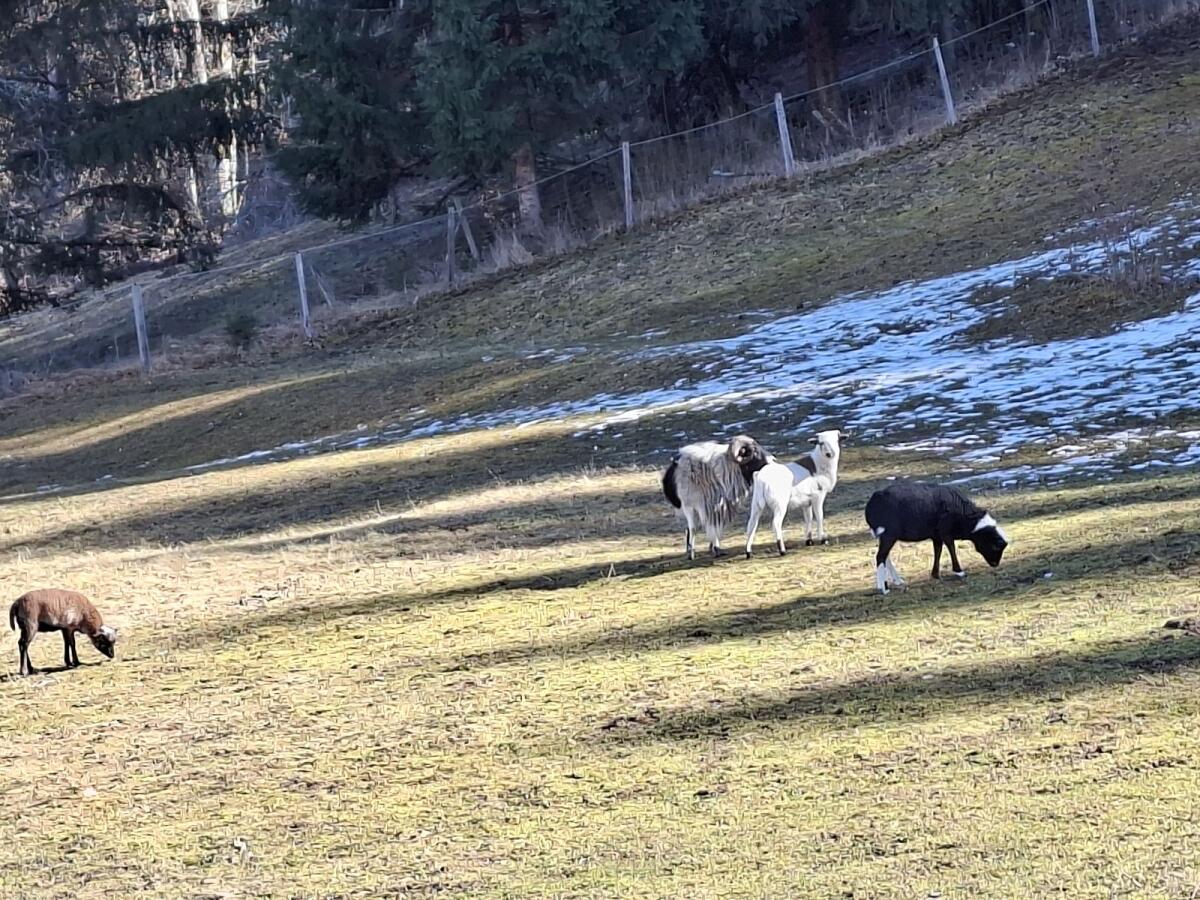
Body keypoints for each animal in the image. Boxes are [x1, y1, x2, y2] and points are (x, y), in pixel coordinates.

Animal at [745, 429, 843, 558]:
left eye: (837, 440)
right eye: (820, 443)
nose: (829, 454)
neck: (819, 465)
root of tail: (760, 477)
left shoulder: (806, 502)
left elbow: (808, 518)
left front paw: (809, 540)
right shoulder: (818, 496)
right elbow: (819, 516)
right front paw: (822, 539)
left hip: (756, 503)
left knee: (751, 525)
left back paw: (748, 552)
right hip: (780, 504)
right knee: (776, 524)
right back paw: (782, 550)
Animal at [864, 481, 1009, 595]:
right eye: (995, 545)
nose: (995, 564)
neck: (964, 517)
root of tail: (871, 504)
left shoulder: (936, 535)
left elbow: (937, 550)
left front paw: (935, 574)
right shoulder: (945, 532)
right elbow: (951, 548)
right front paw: (959, 571)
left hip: (885, 535)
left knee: (885, 556)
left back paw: (897, 581)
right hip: (889, 534)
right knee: (880, 556)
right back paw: (883, 588)